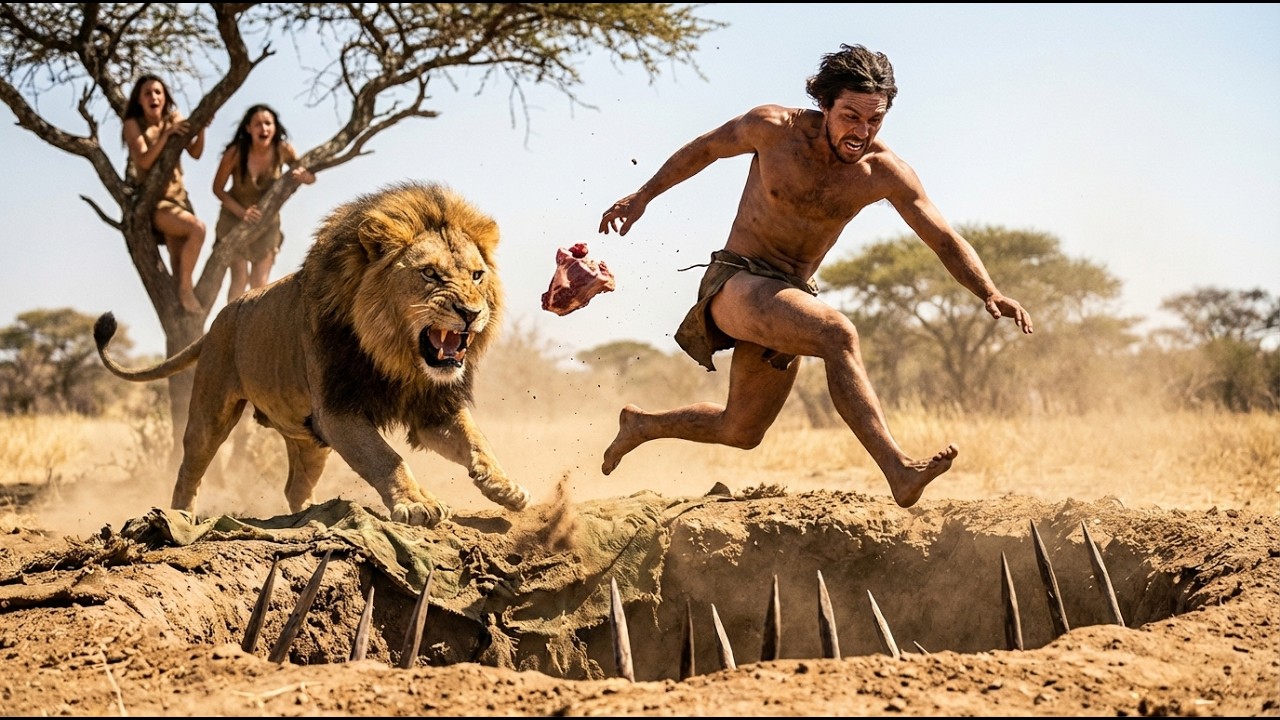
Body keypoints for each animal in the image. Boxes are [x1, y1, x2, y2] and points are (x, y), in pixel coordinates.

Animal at [94, 180, 531, 527]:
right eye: (429, 274)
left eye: (477, 275)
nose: (471, 313)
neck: (397, 358)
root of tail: (219, 318)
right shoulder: (337, 410)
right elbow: (386, 458)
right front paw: (416, 503)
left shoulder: (431, 407)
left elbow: (476, 440)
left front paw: (505, 487)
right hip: (211, 411)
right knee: (190, 468)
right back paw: (180, 516)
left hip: (308, 438)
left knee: (293, 486)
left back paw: (313, 514)